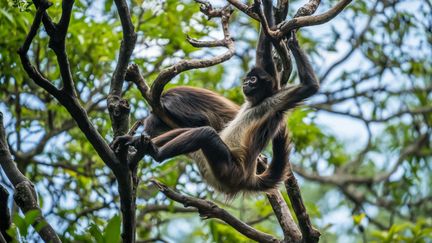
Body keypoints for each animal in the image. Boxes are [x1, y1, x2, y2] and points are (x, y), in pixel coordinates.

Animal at [113, 0, 318, 194]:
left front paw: (293, 42)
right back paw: (136, 141)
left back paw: (156, 153)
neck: (254, 104)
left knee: (206, 133)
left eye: (252, 80)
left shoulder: (273, 103)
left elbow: (310, 87)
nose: (245, 83)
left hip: (227, 170)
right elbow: (263, 53)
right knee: (196, 131)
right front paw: (266, 8)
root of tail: (247, 178)